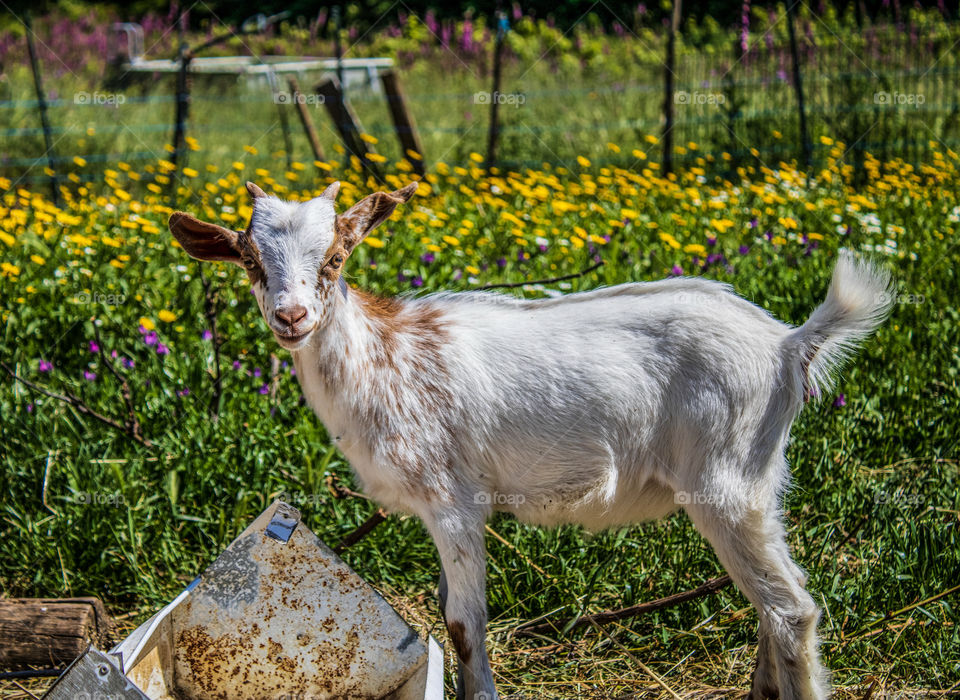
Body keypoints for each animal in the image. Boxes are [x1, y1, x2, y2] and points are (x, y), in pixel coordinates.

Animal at [168, 180, 892, 700]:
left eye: (336, 257)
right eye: (250, 260)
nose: (291, 317)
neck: (386, 359)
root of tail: (789, 342)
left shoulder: (453, 500)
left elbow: (463, 623)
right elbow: (446, 608)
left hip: (727, 482)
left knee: (791, 609)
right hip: (756, 481)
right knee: (772, 606)